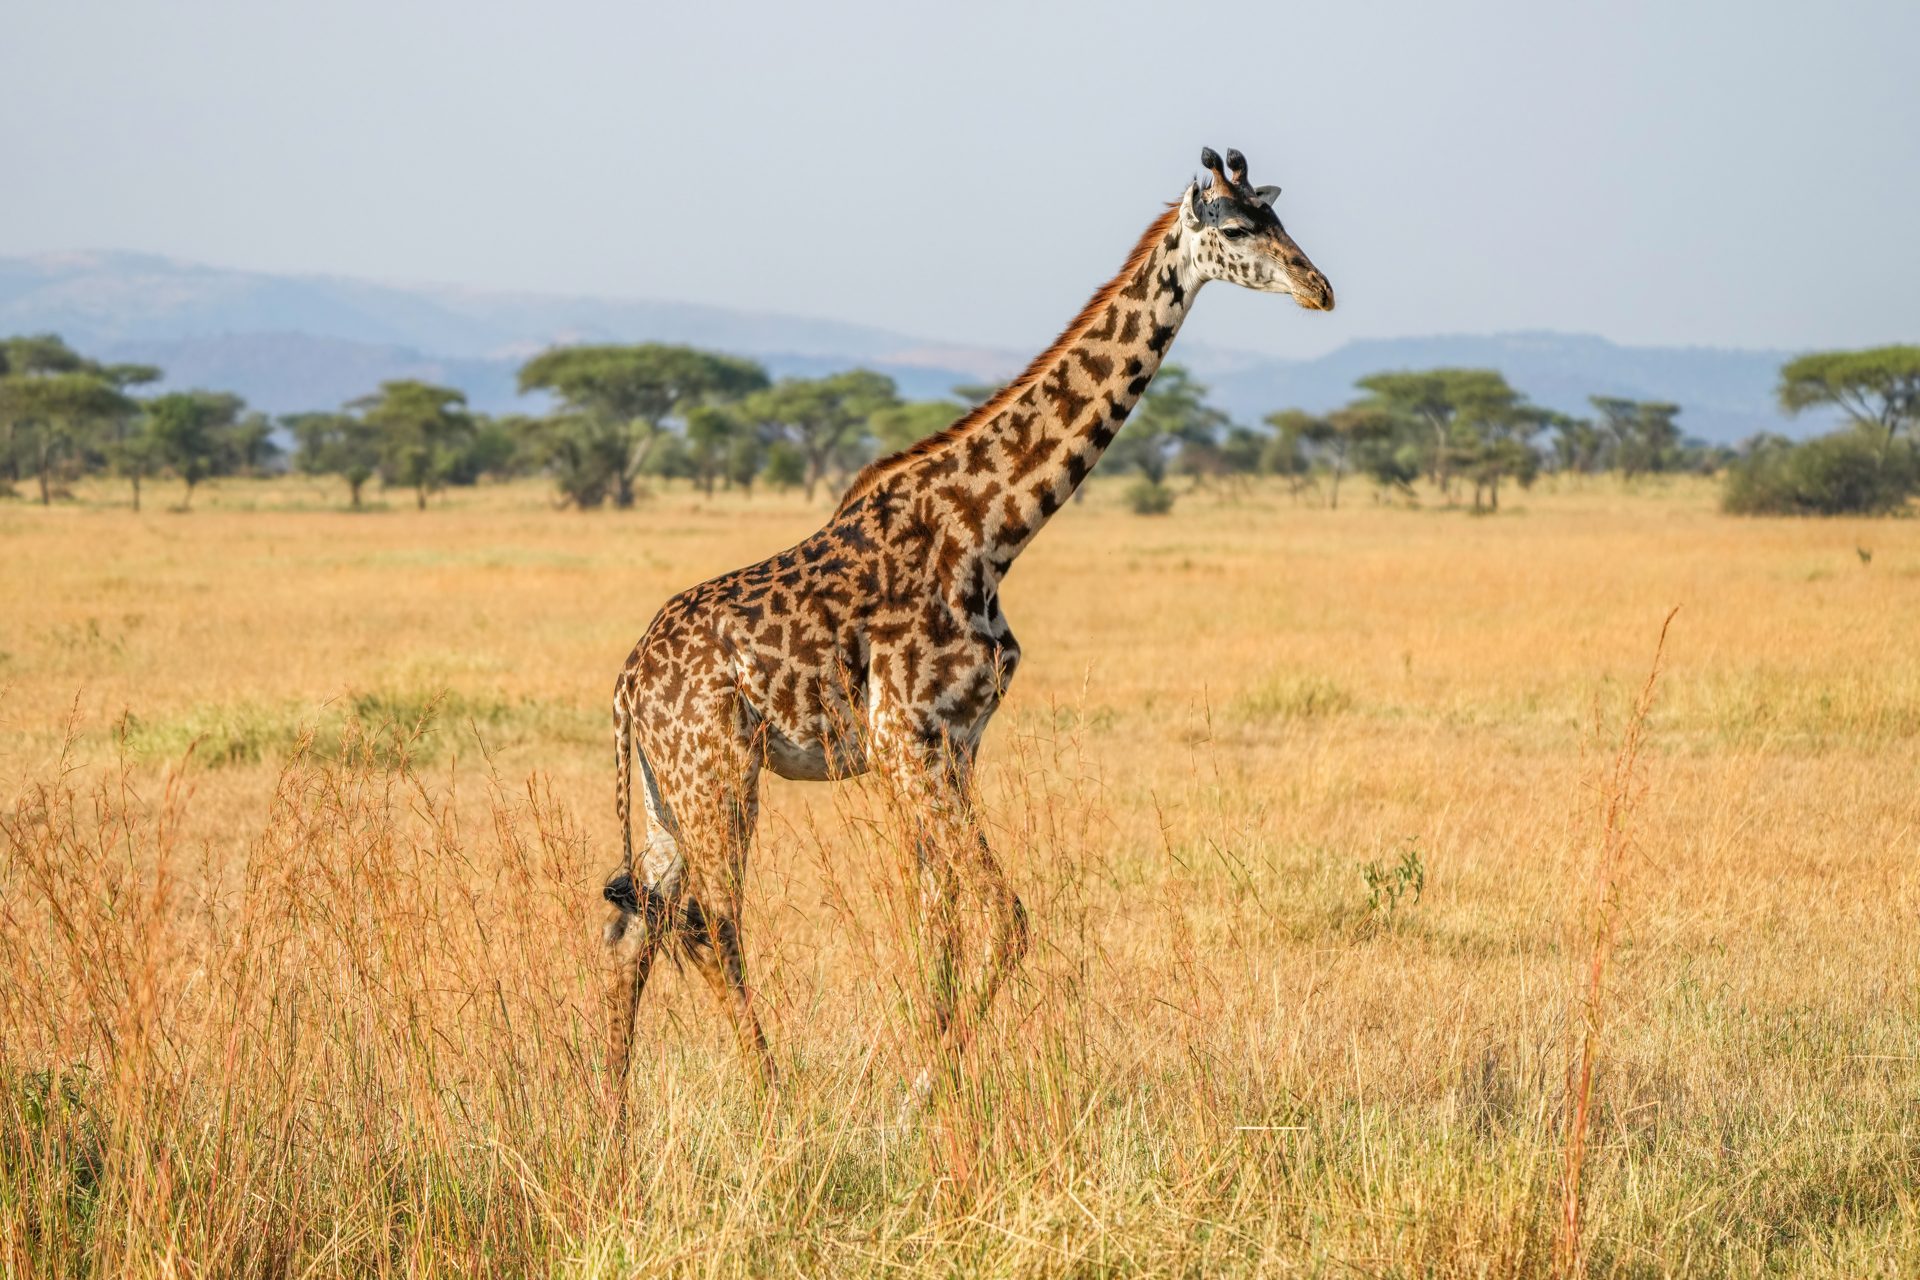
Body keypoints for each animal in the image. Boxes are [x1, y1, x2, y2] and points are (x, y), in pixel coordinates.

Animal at [600, 146, 1334, 1097]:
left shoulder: (953, 746)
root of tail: (627, 683)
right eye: (1241, 228)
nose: (1319, 288)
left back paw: (608, 1114)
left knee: (635, 929)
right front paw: (924, 1089)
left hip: (664, 790)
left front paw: (933, 1082)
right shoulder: (908, 743)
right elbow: (1005, 918)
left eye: (1281, 221)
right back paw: (775, 1103)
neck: (990, 531)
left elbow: (937, 925)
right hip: (719, 772)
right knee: (712, 928)